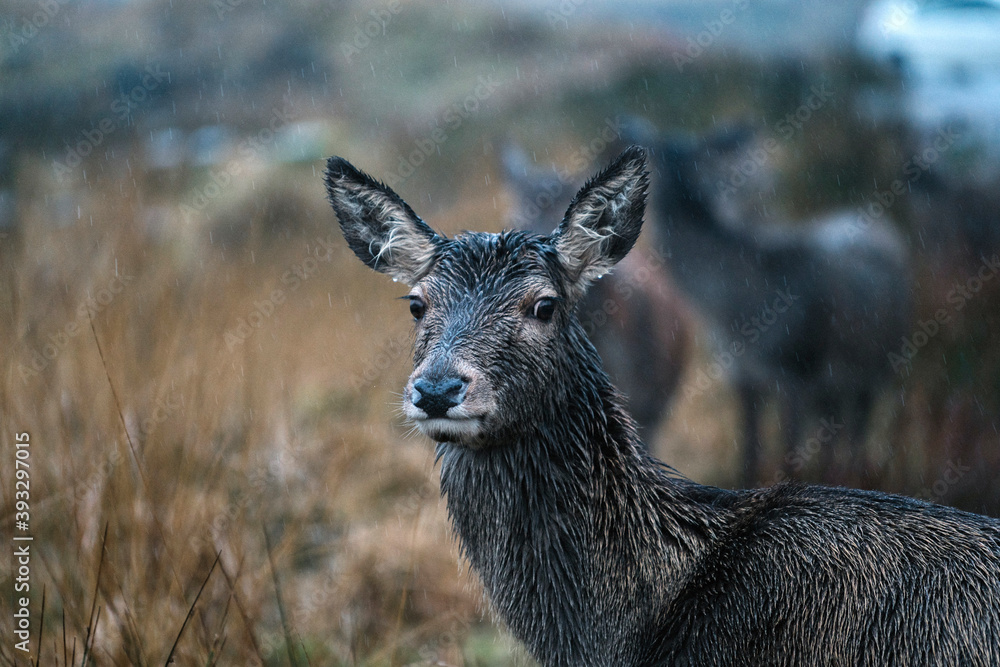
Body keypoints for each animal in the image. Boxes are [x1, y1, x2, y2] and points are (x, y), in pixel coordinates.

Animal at [624, 117, 916, 488]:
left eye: (695, 156)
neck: (738, 317)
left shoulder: (796, 371)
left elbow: (790, 462)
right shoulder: (742, 374)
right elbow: (748, 460)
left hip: (880, 364)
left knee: (861, 435)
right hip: (836, 383)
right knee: (835, 438)